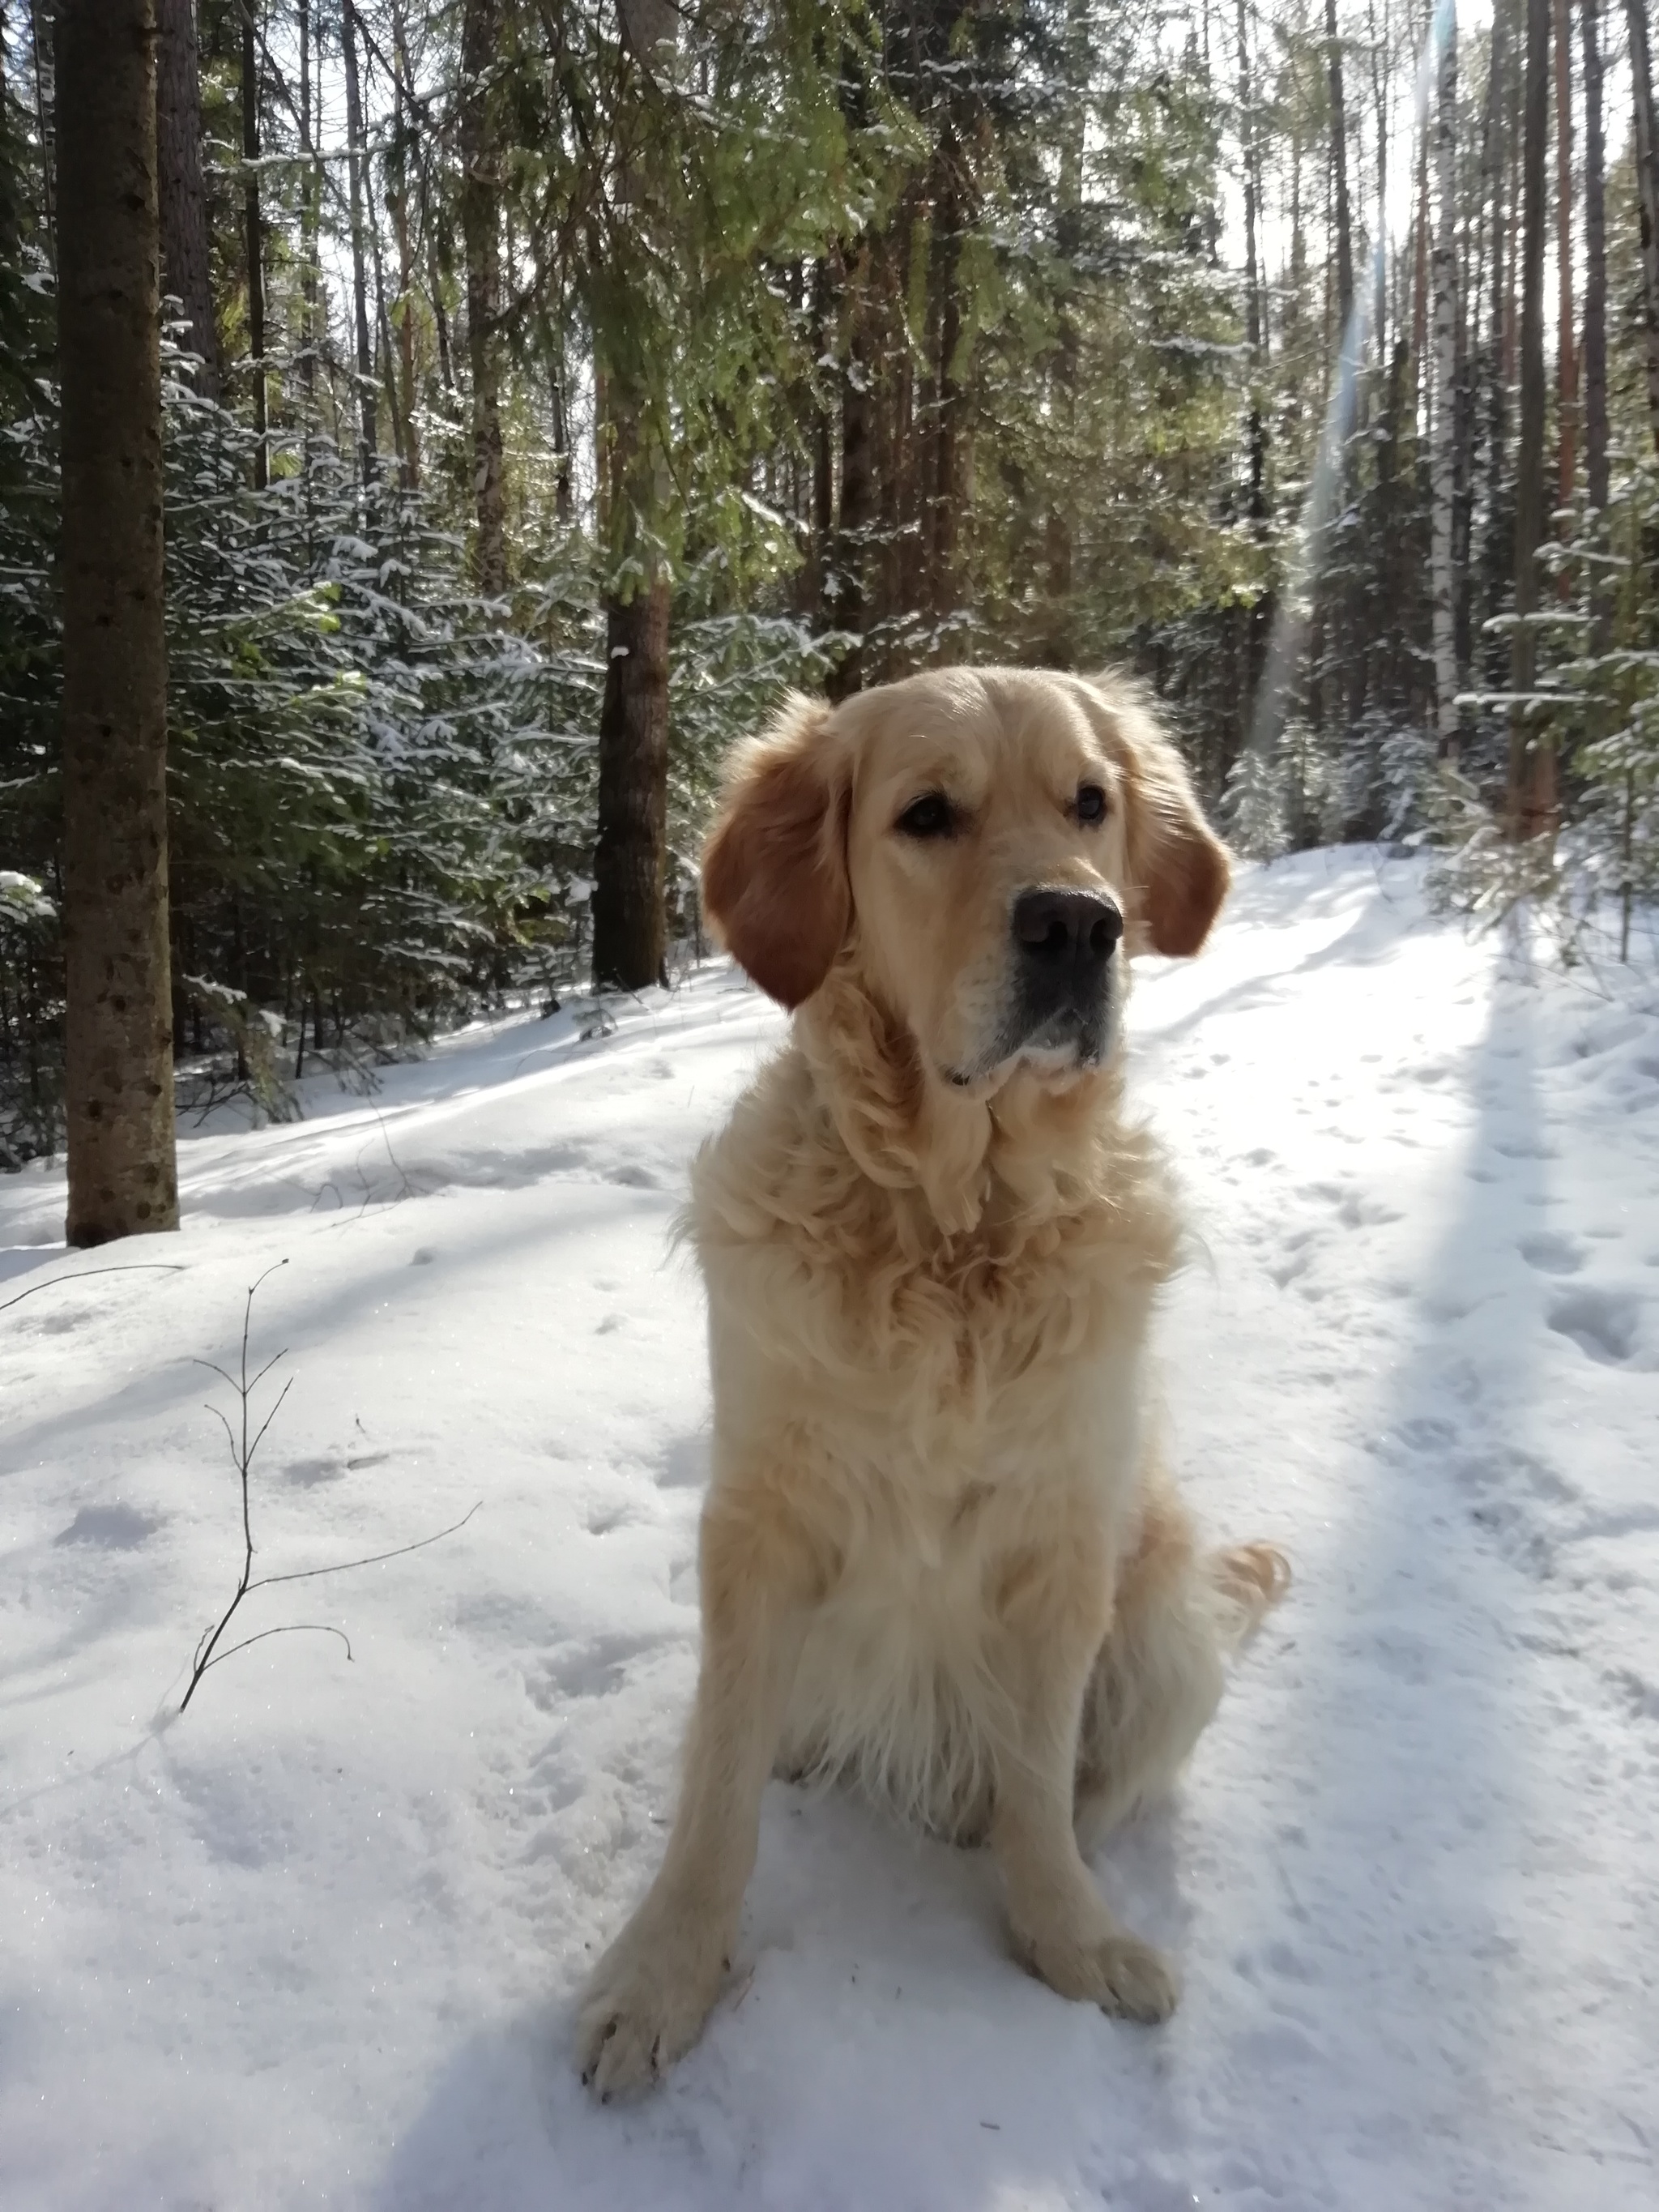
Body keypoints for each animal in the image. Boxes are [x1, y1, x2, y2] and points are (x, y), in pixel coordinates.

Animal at [579, 659, 1291, 2088]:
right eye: (926, 815)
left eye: (1091, 802)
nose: (1081, 925)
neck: (954, 1226)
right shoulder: (758, 1523)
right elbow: (717, 1788)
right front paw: (664, 1971)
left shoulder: (1063, 1540)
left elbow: (1040, 1781)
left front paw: (1070, 1936)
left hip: (1165, 1637)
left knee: (1082, 1778)